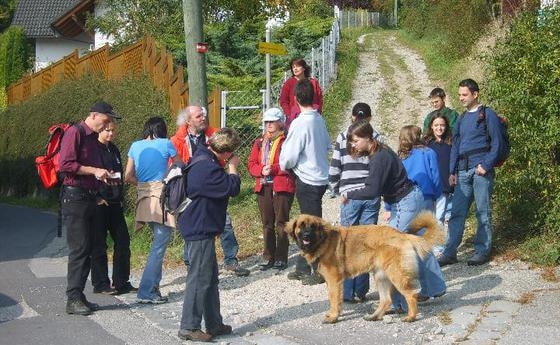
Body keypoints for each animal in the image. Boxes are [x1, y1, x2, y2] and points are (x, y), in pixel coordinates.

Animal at [286, 210, 444, 322]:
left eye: (312, 227)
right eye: (301, 226)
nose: (306, 235)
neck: (323, 241)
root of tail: (403, 235)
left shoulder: (334, 280)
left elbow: (334, 298)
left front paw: (333, 317)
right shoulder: (332, 281)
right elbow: (333, 298)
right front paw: (334, 314)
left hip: (396, 275)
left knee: (410, 296)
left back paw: (410, 317)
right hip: (381, 276)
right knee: (386, 299)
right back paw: (374, 316)